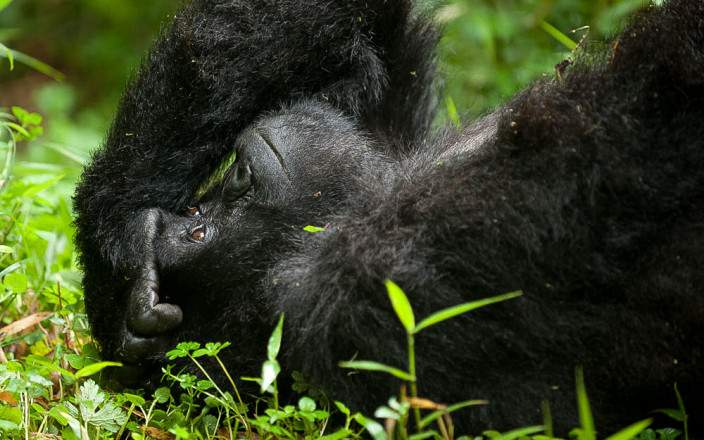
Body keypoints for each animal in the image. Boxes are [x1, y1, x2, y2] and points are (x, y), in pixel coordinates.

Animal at [74, 0, 700, 434]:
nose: (186, 218)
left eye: (201, 212)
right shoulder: (368, 288)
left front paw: (118, 235)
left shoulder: (390, 126)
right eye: (202, 228)